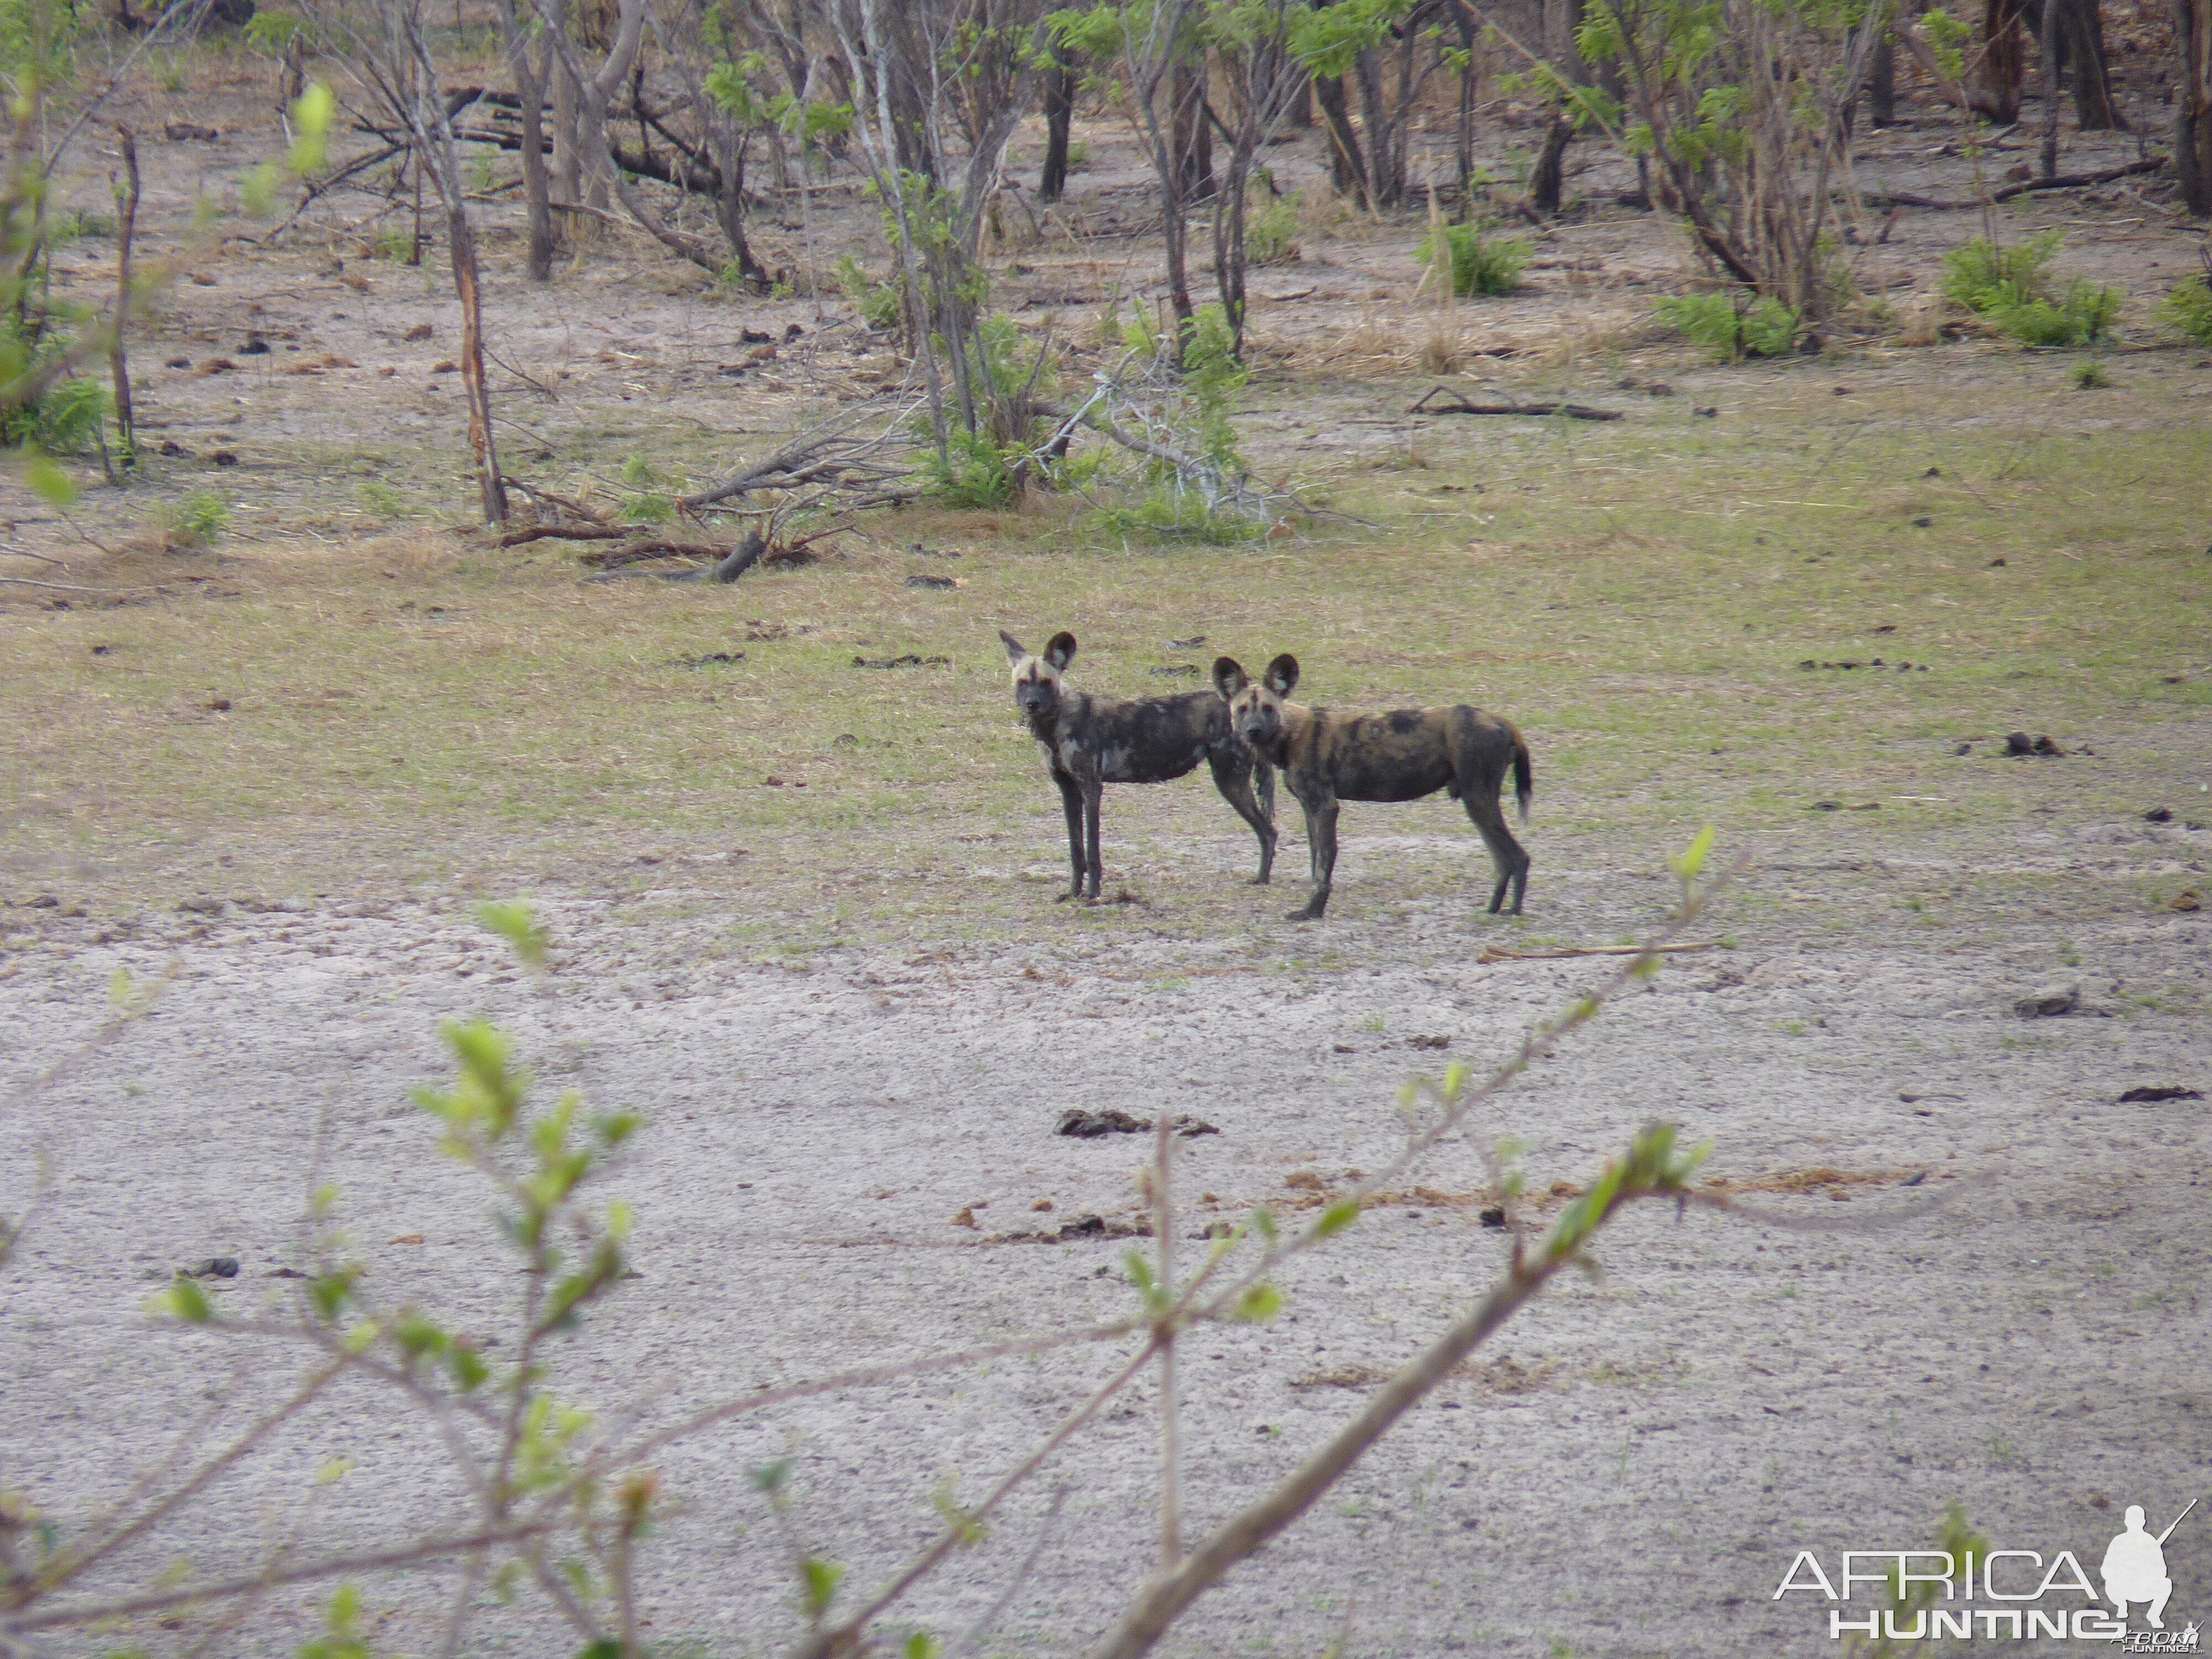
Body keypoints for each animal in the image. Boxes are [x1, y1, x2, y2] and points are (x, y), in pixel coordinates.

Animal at [1004, 628, 1283, 902]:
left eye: (1046, 683)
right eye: (1023, 683)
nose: (1032, 704)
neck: (1055, 724)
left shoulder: (1091, 788)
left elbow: (1092, 851)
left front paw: (1093, 895)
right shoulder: (1069, 791)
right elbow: (1076, 850)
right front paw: (1073, 893)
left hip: (1230, 781)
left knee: (1268, 832)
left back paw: (1261, 881)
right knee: (1268, 832)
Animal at [1212, 655, 1540, 929]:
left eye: (1268, 709)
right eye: (1242, 711)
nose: (1253, 731)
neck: (1291, 735)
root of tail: (1499, 719)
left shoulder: (1325, 807)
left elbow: (1323, 866)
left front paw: (1312, 912)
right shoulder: (1309, 808)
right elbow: (1315, 860)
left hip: (1478, 802)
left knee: (1519, 858)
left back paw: (1512, 913)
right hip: (1477, 806)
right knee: (1503, 860)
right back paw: (1493, 910)